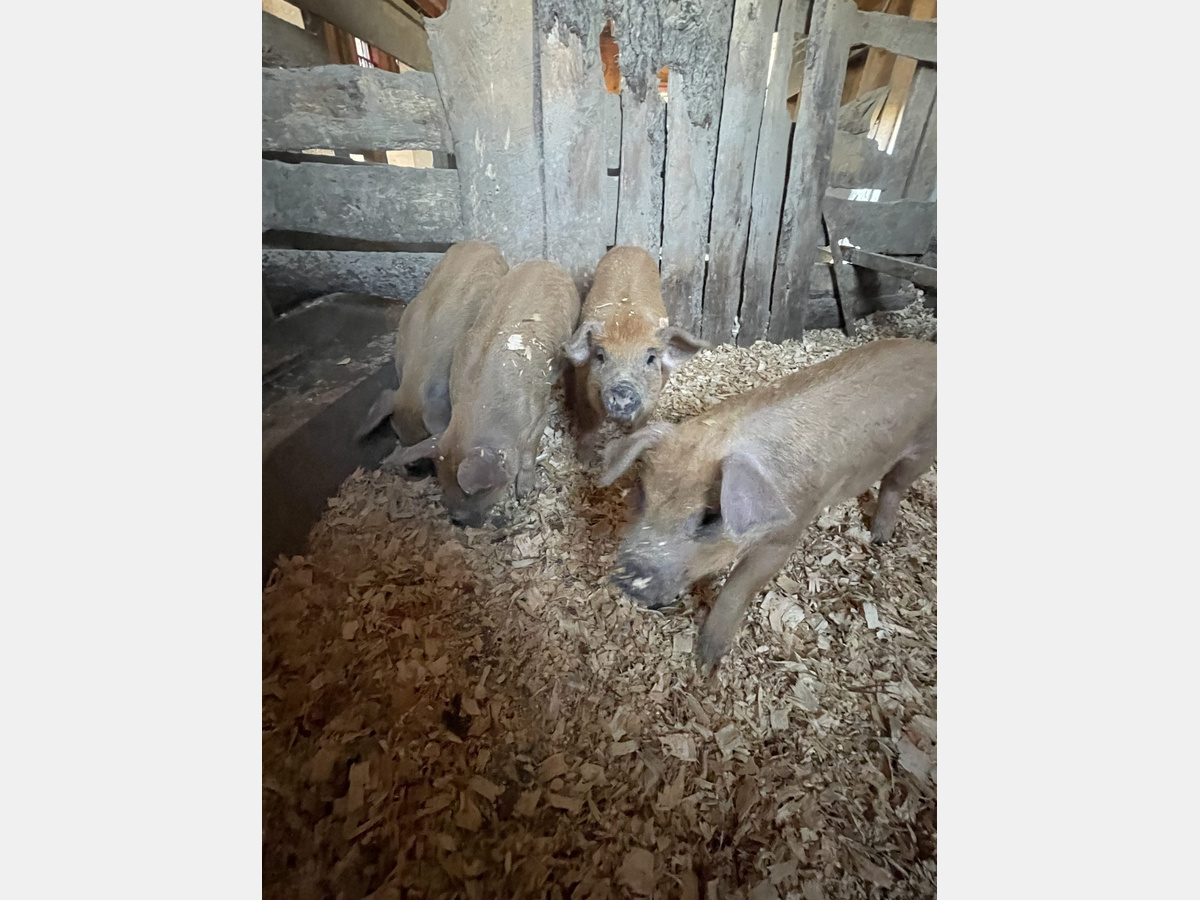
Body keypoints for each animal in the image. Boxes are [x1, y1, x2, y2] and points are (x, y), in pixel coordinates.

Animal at [388, 260, 581, 527]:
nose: (457, 520)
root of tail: (544, 263)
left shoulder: (539, 413)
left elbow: (529, 453)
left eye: (482, 490)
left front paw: (525, 492)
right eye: (441, 478)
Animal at [563, 246, 710, 463]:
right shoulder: (583, 386)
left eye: (650, 359)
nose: (623, 390)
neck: (628, 323)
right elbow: (589, 424)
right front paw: (585, 461)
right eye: (600, 356)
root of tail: (629, 247)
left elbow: (640, 425)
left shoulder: (653, 395)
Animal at [599, 338, 936, 670]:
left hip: (923, 449)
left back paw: (880, 538)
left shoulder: (786, 535)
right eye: (643, 493)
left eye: (710, 516)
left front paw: (707, 664)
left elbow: (738, 587)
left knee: (894, 484)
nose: (627, 577)